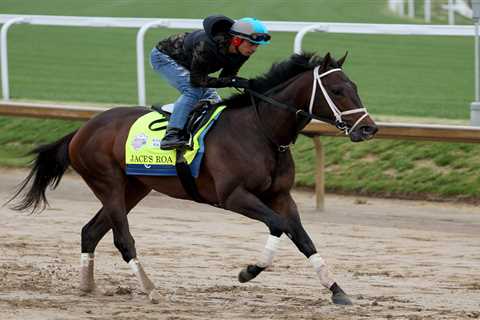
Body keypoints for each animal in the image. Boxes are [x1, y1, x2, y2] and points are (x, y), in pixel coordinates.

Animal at [8, 52, 378, 304]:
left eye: (355, 86)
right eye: (337, 89)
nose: (369, 128)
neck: (261, 132)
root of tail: (82, 129)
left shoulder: (281, 196)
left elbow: (302, 238)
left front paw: (337, 289)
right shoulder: (234, 196)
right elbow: (278, 225)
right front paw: (248, 271)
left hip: (134, 188)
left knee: (90, 231)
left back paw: (87, 286)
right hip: (108, 183)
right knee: (122, 238)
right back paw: (150, 289)